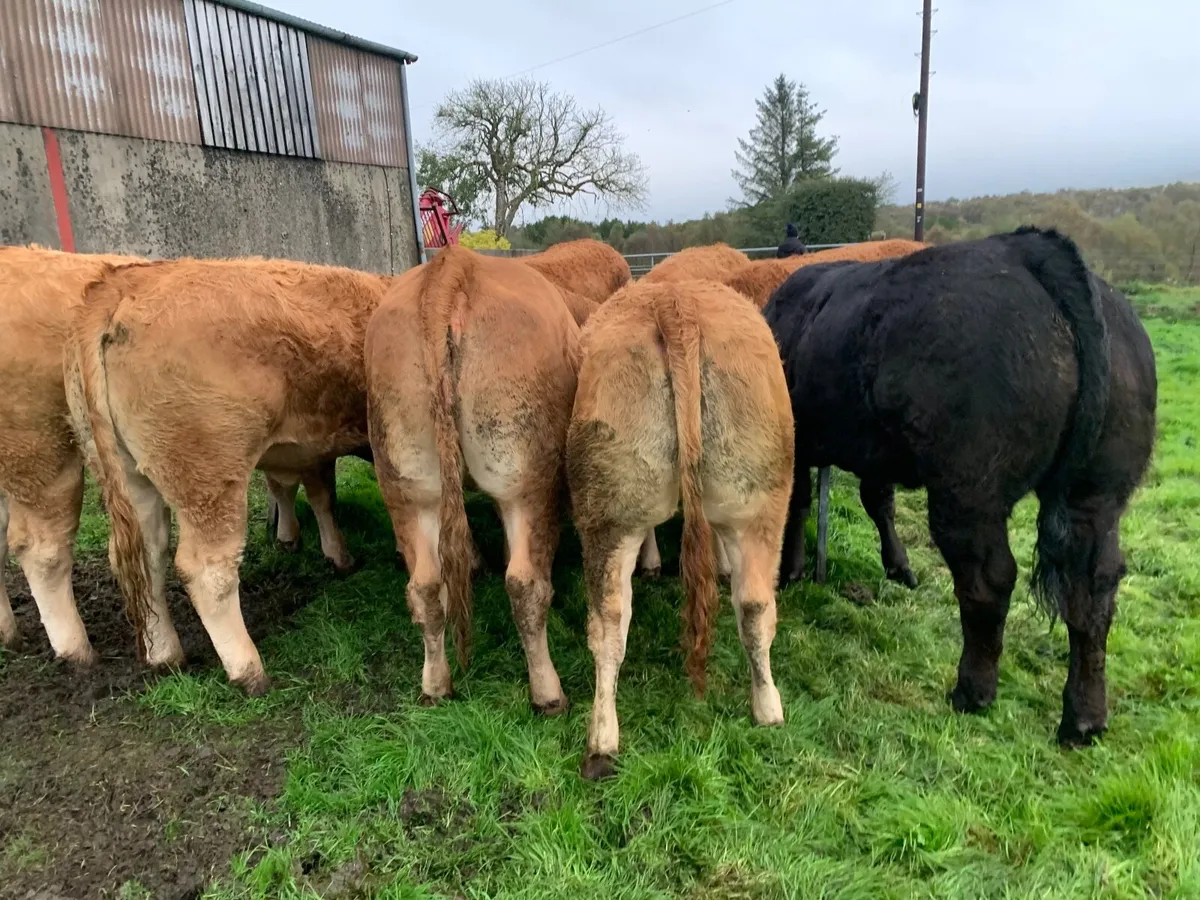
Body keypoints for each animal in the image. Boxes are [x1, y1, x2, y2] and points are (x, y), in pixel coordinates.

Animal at [65, 257, 393, 692]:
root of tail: (125, 281)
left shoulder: (312, 445)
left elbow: (320, 497)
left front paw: (332, 554)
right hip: (210, 477)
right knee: (208, 570)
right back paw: (249, 670)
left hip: (129, 476)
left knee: (146, 558)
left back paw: (165, 655)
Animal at [365, 245, 579, 713]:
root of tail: (454, 267)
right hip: (526, 480)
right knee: (526, 585)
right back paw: (548, 693)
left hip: (407, 483)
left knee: (426, 587)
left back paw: (435, 685)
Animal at [761, 227, 1157, 745]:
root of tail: (1030, 249)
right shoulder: (873, 449)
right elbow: (874, 500)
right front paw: (897, 567)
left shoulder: (803, 439)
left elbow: (802, 502)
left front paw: (791, 570)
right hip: (1097, 492)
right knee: (1094, 589)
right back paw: (1083, 718)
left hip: (968, 489)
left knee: (990, 580)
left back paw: (973, 691)